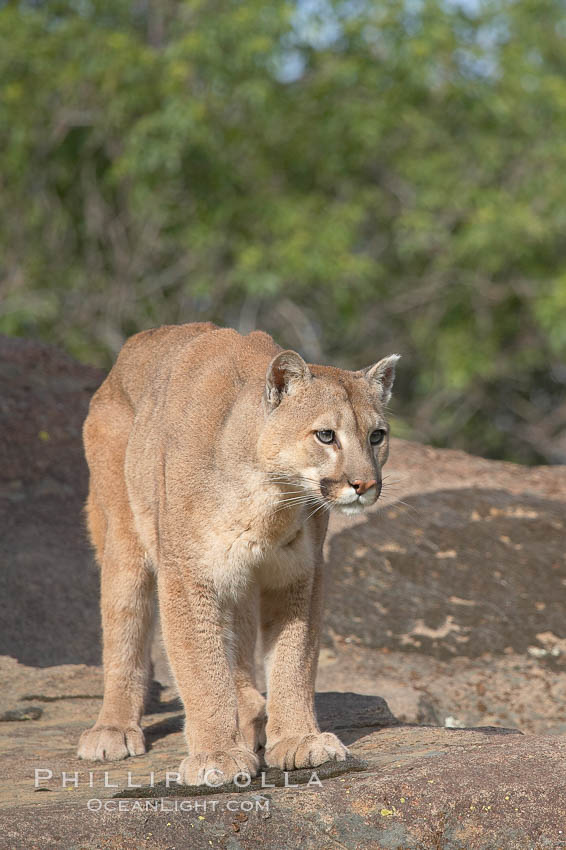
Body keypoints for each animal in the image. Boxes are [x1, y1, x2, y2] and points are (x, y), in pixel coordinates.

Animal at [79, 322, 400, 780]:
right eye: (326, 436)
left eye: (377, 436)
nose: (365, 484)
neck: (269, 498)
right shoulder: (187, 574)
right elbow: (201, 665)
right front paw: (217, 754)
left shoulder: (298, 574)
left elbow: (293, 661)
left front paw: (298, 740)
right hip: (123, 535)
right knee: (125, 623)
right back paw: (113, 728)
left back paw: (252, 715)